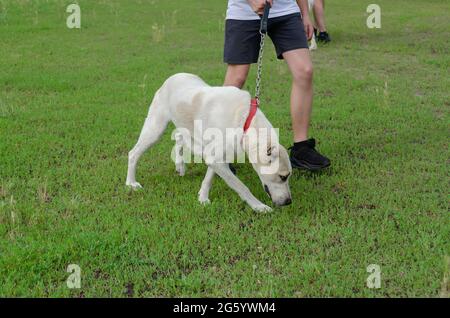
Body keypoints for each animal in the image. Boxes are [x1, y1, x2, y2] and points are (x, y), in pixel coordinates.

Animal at [125, 73, 292, 212]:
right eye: (283, 177)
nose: (289, 202)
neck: (244, 120)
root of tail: (173, 76)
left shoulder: (216, 156)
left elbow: (209, 178)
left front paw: (203, 198)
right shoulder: (215, 157)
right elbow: (241, 186)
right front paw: (258, 206)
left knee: (179, 138)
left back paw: (180, 165)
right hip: (155, 130)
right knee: (133, 154)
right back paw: (131, 183)